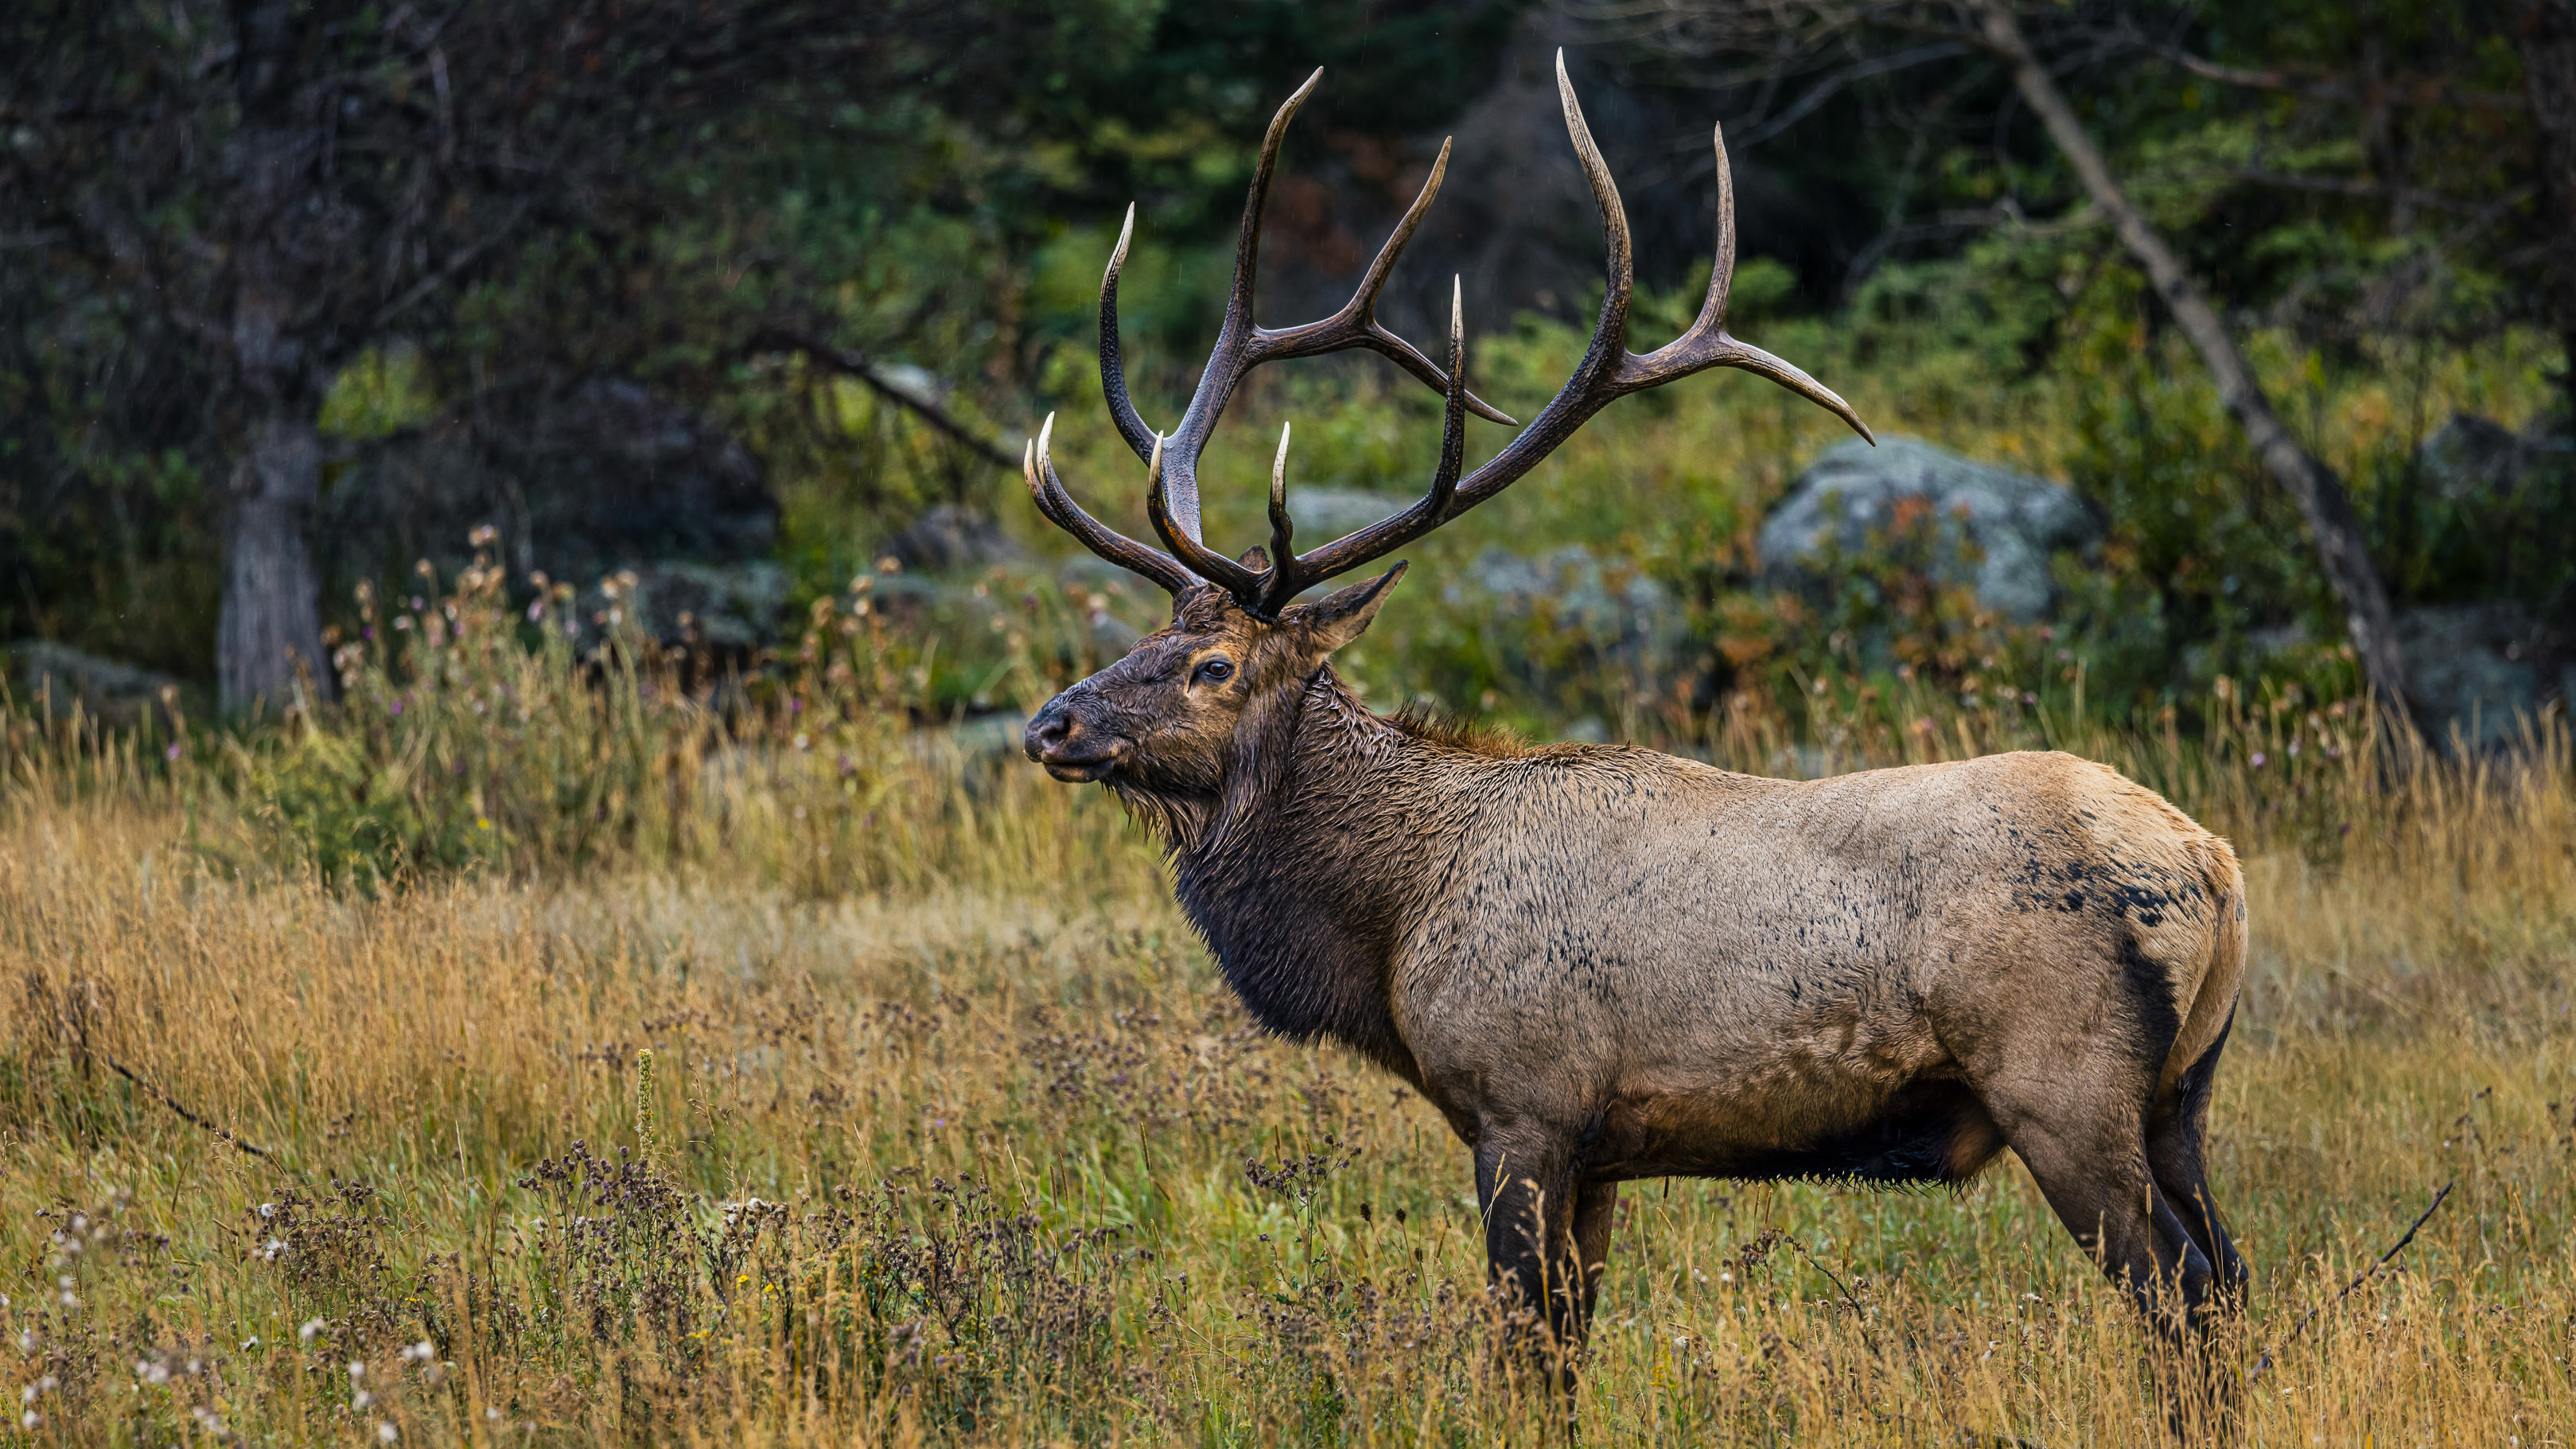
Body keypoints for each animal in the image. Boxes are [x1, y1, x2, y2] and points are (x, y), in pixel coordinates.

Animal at [1018, 55, 2250, 1424]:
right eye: (1145, 633)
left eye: (1213, 665)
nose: (1052, 722)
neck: (1390, 920)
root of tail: (2213, 870)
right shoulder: (1601, 1151)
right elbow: (1566, 1350)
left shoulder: (1523, 1103)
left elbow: (1520, 1349)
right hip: (2181, 1096)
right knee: (2234, 1281)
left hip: (2062, 1084)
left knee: (2178, 1297)